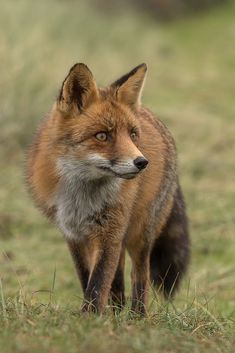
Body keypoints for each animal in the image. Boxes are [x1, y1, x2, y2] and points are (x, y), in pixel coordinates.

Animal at [26, 62, 190, 314]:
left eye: (132, 134)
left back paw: (137, 316)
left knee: (139, 275)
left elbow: (99, 281)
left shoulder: (109, 232)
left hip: (141, 233)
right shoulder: (73, 233)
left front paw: (90, 317)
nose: (142, 162)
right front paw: (95, 316)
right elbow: (88, 278)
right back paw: (116, 312)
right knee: (119, 280)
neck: (81, 196)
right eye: (102, 135)